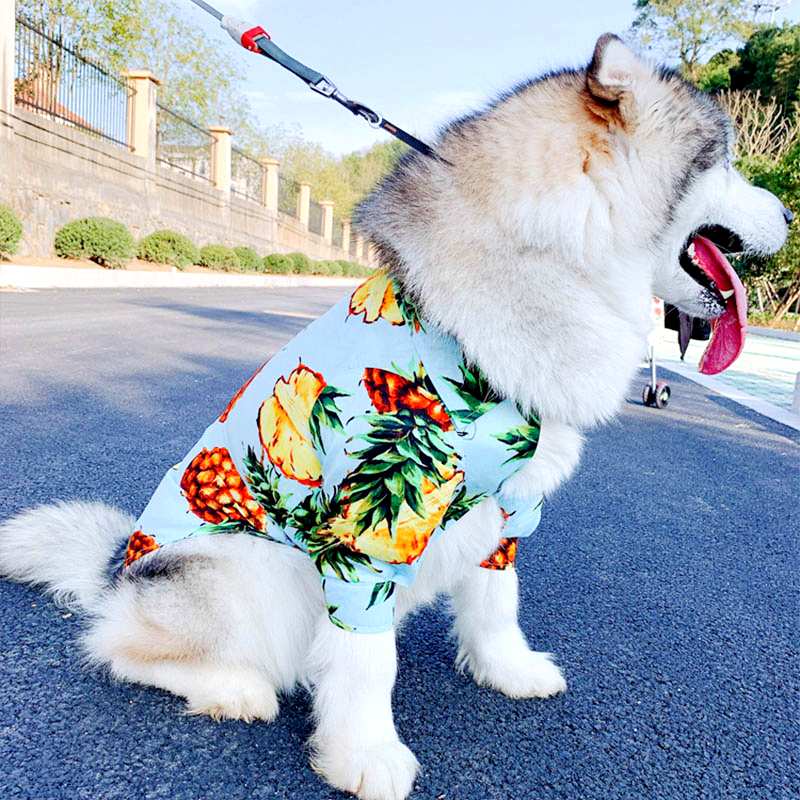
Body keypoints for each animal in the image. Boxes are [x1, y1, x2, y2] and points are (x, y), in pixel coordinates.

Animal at [0, 32, 788, 800]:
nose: (787, 213)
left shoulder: (507, 510)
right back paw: (231, 686)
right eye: (726, 162)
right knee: (117, 644)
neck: (549, 260)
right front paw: (366, 754)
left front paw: (506, 669)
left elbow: (497, 603)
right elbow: (369, 661)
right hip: (255, 572)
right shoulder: (368, 533)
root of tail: (114, 571)